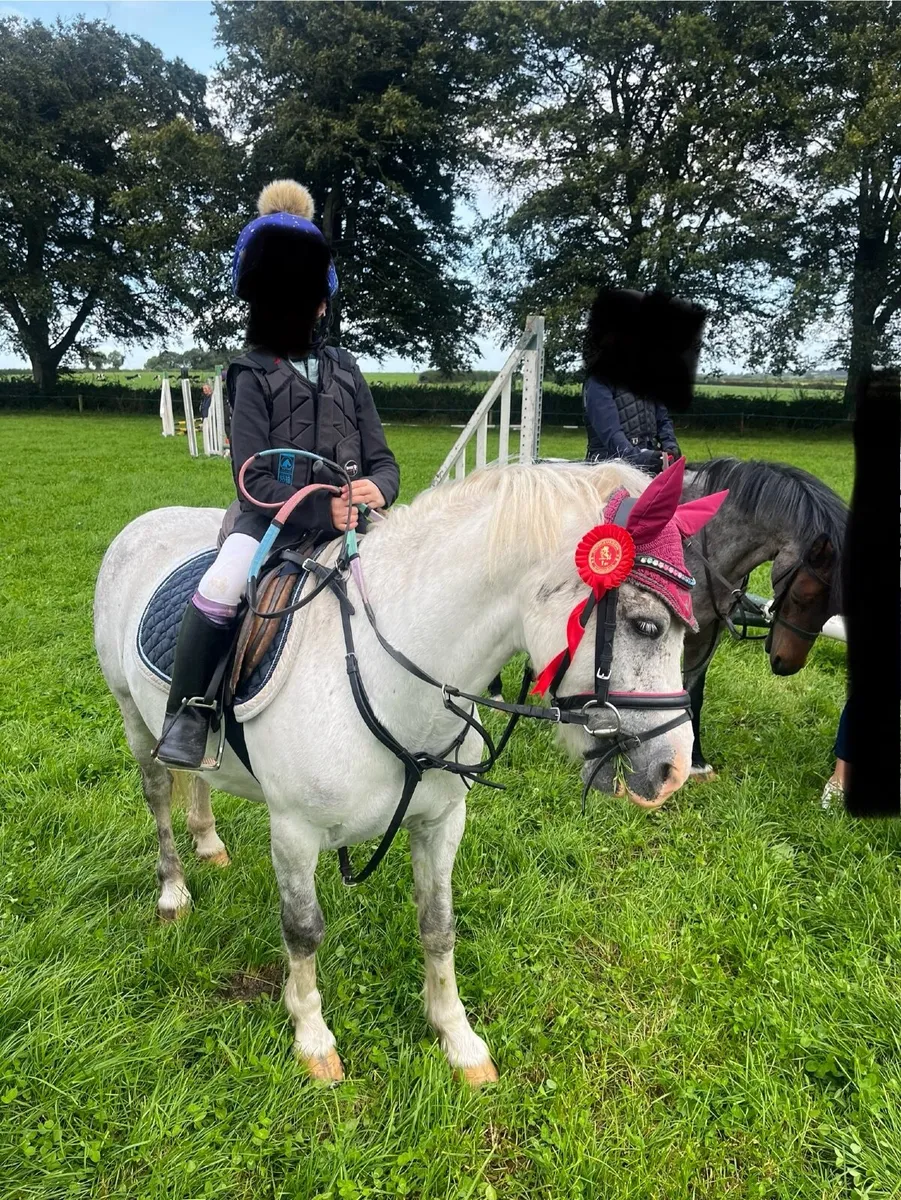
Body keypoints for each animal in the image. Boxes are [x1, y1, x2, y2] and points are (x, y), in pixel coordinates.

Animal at [93, 460, 696, 1085]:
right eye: (646, 626)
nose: (675, 769)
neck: (390, 678)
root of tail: (148, 519)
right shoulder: (293, 832)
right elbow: (302, 929)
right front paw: (313, 1040)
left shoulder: (440, 822)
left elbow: (439, 923)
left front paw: (458, 1040)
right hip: (133, 717)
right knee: (159, 793)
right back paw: (173, 892)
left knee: (198, 781)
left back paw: (209, 843)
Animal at [681, 458, 847, 776]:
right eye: (802, 596)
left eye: (833, 610)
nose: (787, 665)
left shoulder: (708, 631)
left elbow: (693, 692)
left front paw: (694, 762)